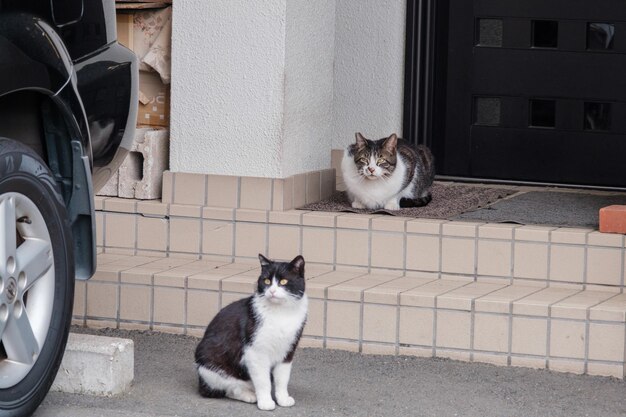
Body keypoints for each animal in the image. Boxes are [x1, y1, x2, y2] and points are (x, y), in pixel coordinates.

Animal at [193, 254, 304, 410]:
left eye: (283, 281)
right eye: (267, 281)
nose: (272, 291)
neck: (280, 313)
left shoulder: (288, 350)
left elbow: (283, 378)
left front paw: (283, 399)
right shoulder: (255, 351)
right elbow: (263, 380)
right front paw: (265, 402)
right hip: (210, 365)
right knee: (229, 388)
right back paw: (250, 395)